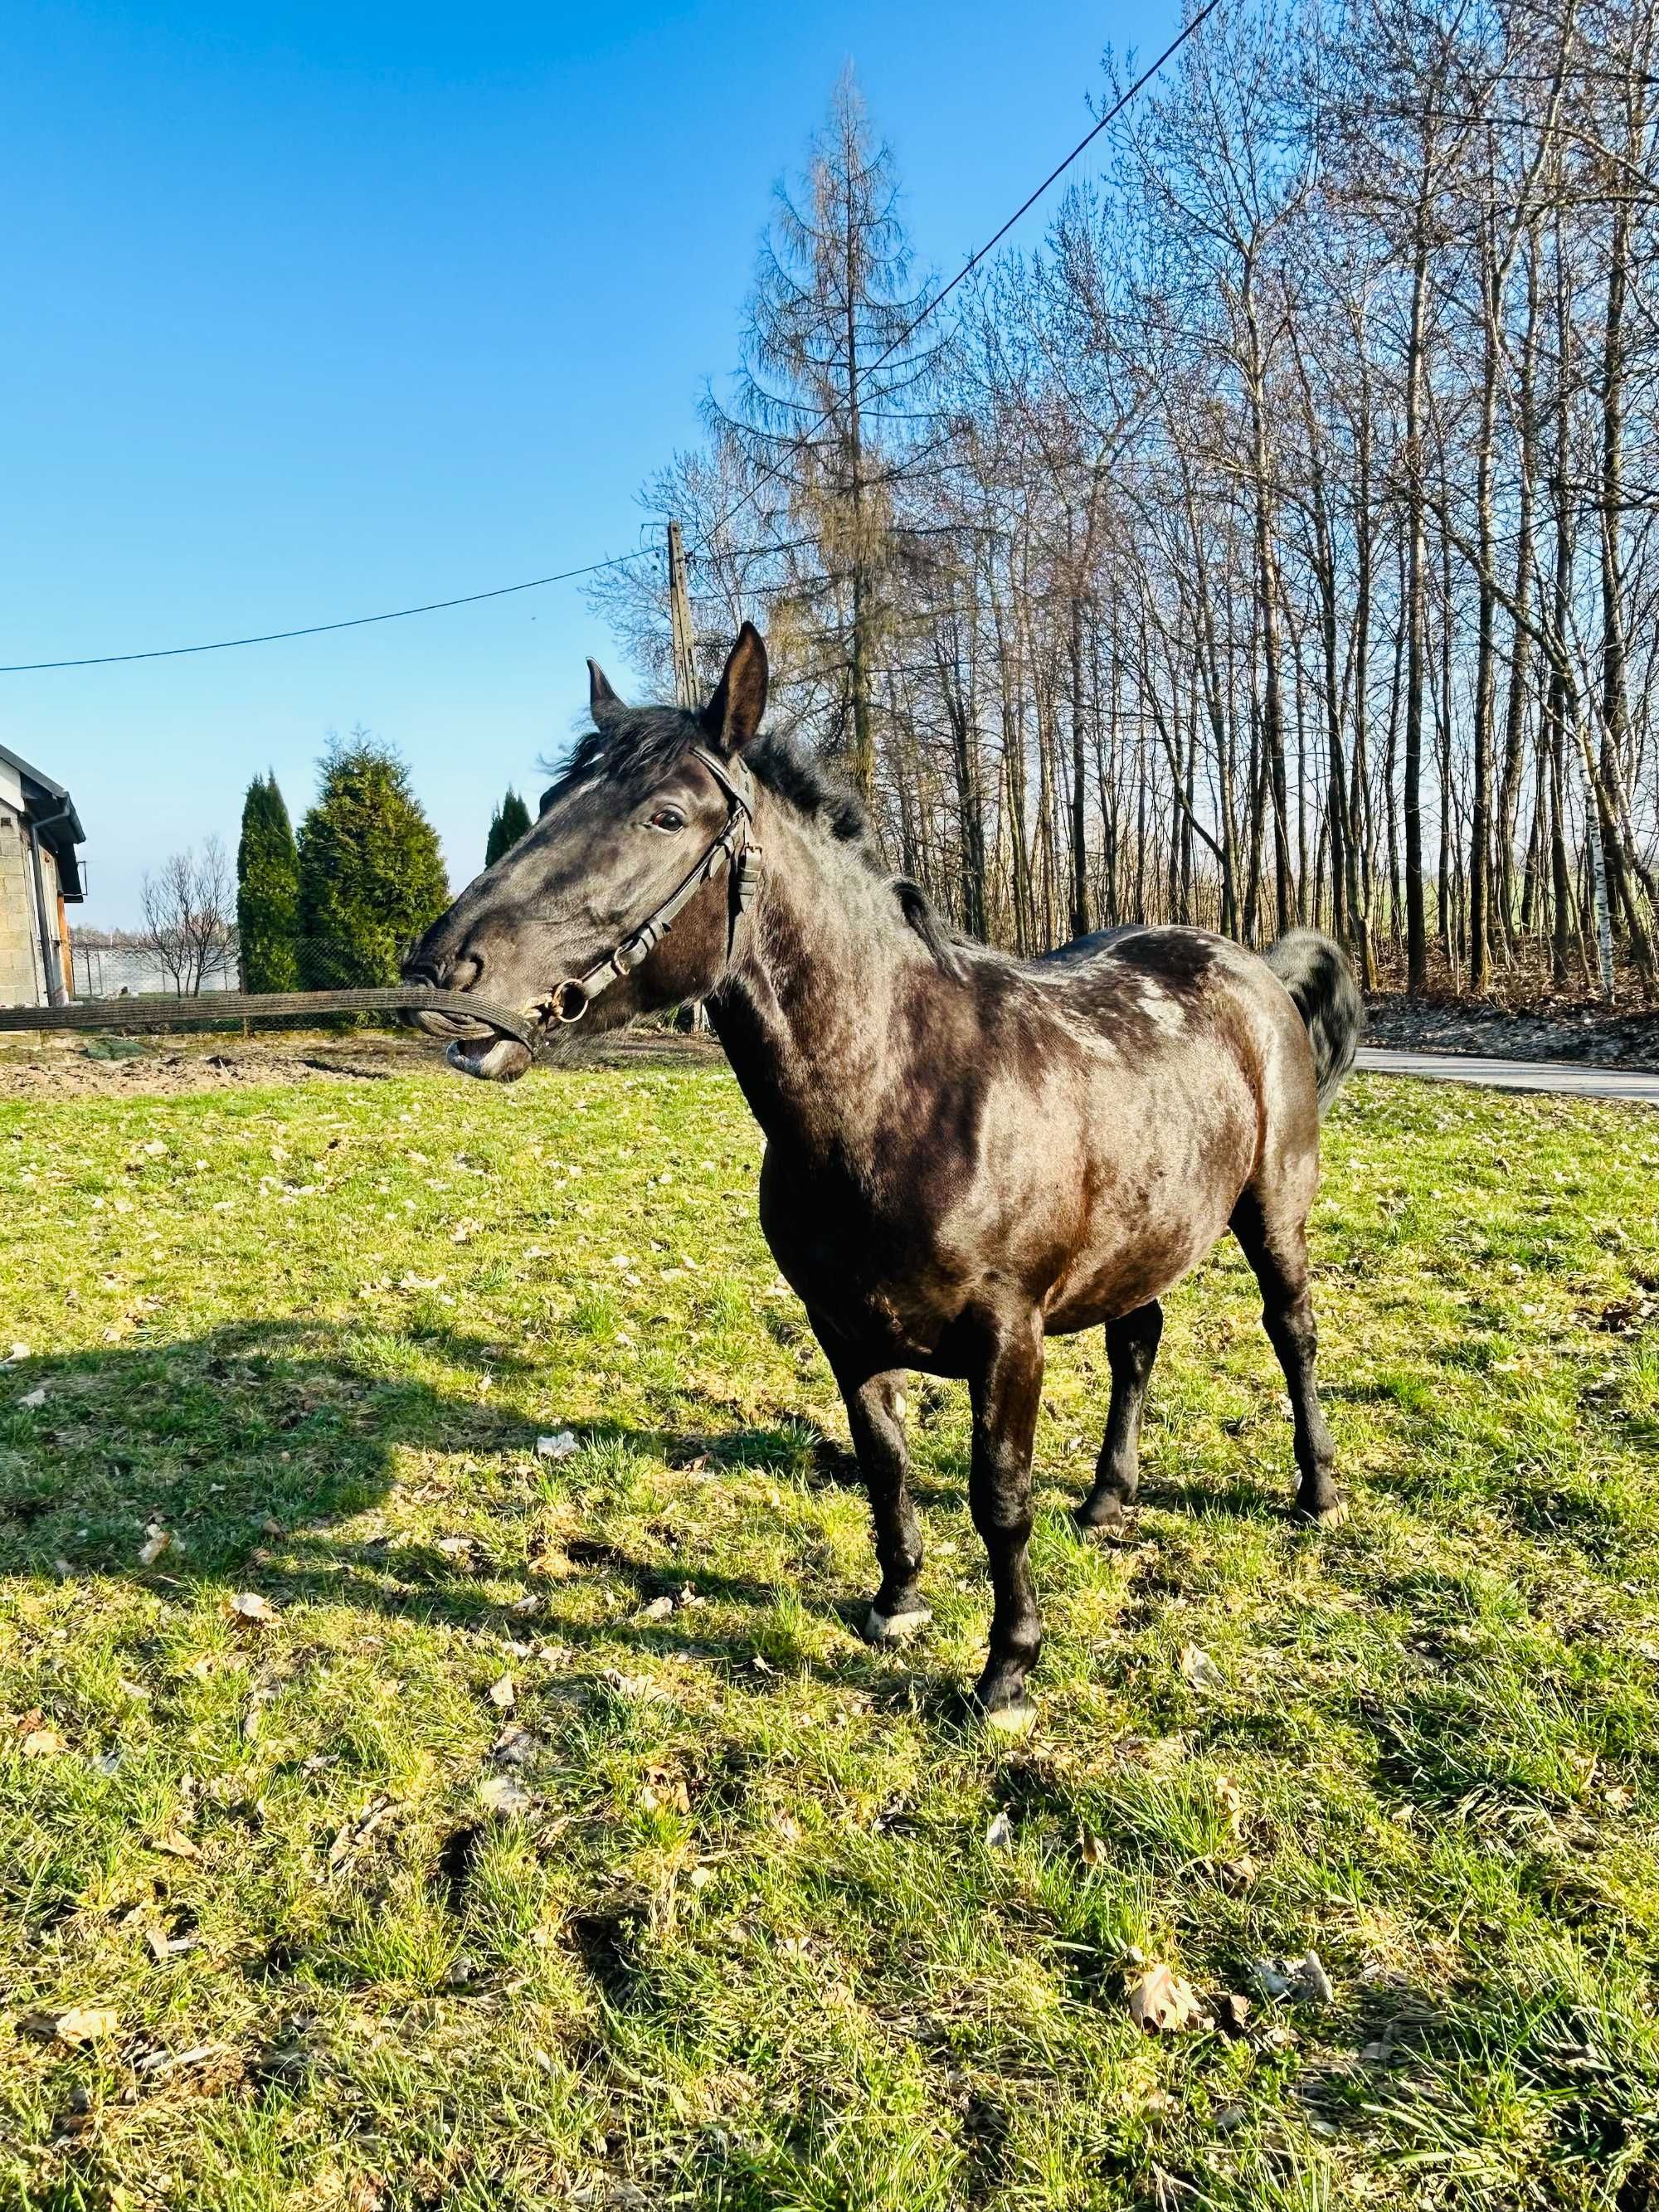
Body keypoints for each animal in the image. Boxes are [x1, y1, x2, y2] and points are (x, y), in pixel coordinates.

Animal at [413, 624, 1362, 1725]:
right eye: (555, 798)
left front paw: (1007, 1670)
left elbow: (997, 1497)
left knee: (1291, 1333)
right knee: (1138, 1340)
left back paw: (1314, 1491)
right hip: (1144, 1231)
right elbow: (882, 1462)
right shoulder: (840, 1326)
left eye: (664, 815)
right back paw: (1106, 1500)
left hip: (1271, 1210)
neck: (901, 1093)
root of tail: (1255, 968)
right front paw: (897, 1601)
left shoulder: (1007, 1337)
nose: (444, 967)